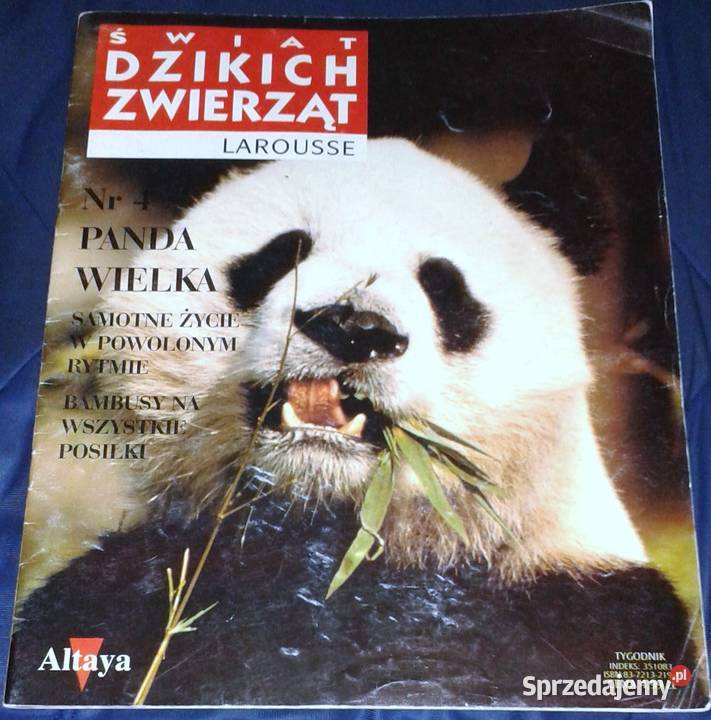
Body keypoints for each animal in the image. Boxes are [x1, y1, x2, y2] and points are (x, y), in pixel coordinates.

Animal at [6, 139, 702, 708]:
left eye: (444, 288)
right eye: (282, 253)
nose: (353, 326)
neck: (330, 530)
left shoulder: (579, 608)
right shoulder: (131, 588)